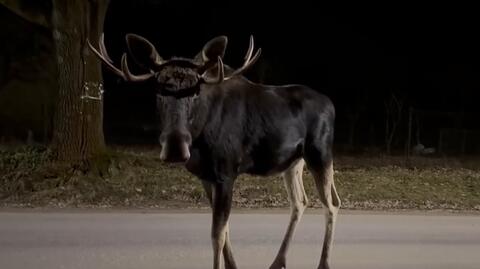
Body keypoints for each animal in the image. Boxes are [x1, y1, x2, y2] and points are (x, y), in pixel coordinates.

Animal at [87, 33, 342, 268]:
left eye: (195, 92)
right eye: (158, 92)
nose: (175, 147)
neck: (200, 137)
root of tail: (331, 104)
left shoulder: (225, 173)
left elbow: (217, 235)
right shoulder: (205, 176)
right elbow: (224, 230)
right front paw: (232, 265)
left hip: (320, 154)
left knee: (332, 204)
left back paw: (324, 263)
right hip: (293, 161)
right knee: (300, 201)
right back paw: (278, 261)